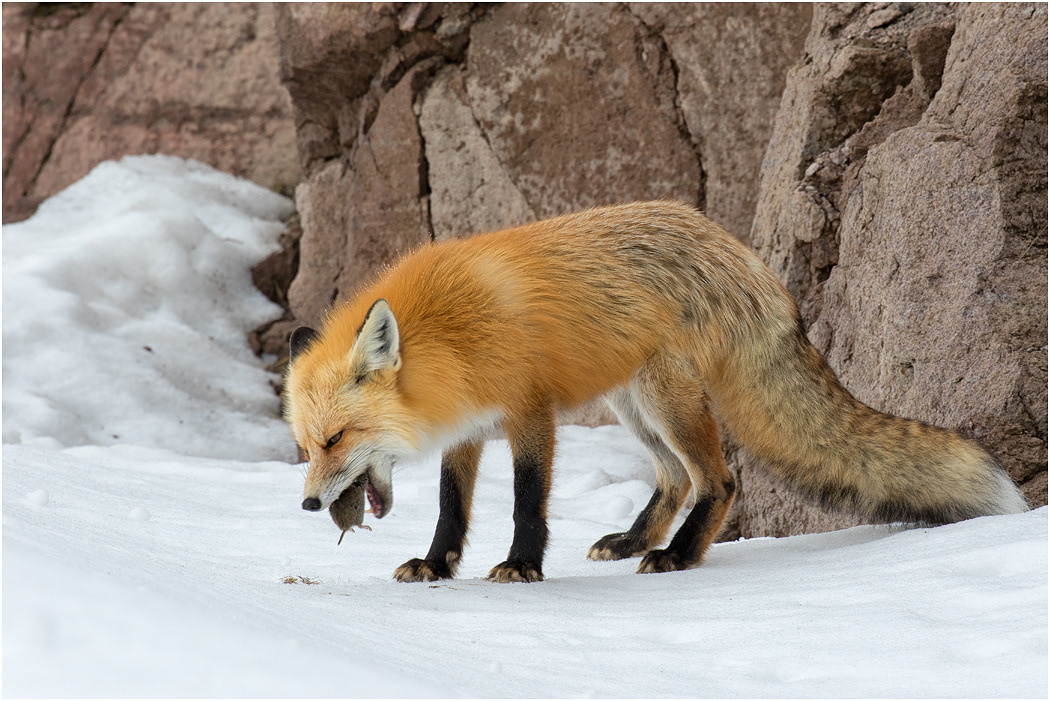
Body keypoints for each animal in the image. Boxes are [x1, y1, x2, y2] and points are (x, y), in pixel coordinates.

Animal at [283, 200, 1028, 583]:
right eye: (307, 447)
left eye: (336, 438)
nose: (310, 503)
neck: (450, 336)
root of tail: (734, 245)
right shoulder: (468, 426)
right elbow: (451, 506)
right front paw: (437, 564)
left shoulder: (530, 412)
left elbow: (526, 500)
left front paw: (522, 564)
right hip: (634, 404)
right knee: (674, 479)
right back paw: (635, 540)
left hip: (667, 400)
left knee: (719, 481)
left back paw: (677, 555)